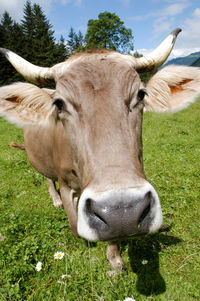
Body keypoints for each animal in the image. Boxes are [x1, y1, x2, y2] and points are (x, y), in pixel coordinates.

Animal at [0, 27, 200, 268]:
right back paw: (55, 199)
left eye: (141, 94)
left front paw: (114, 260)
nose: (122, 212)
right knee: (48, 178)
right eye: (59, 104)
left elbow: (111, 235)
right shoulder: (65, 184)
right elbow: (75, 225)